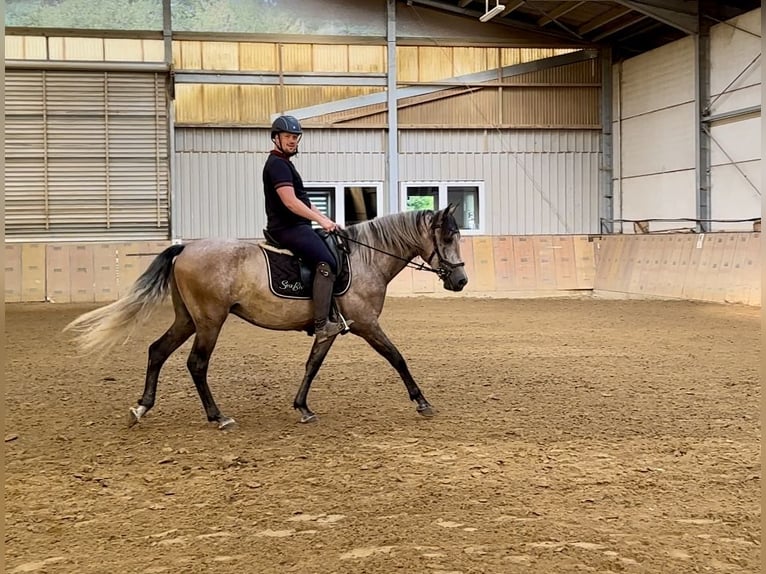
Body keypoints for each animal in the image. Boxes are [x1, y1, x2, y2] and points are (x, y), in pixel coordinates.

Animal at [66, 205, 472, 430]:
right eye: (447, 239)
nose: (461, 281)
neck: (365, 258)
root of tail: (185, 249)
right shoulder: (366, 325)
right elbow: (397, 358)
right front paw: (422, 402)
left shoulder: (329, 331)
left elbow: (312, 365)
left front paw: (302, 407)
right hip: (209, 321)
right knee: (196, 364)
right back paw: (218, 417)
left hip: (188, 319)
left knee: (157, 351)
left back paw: (141, 407)